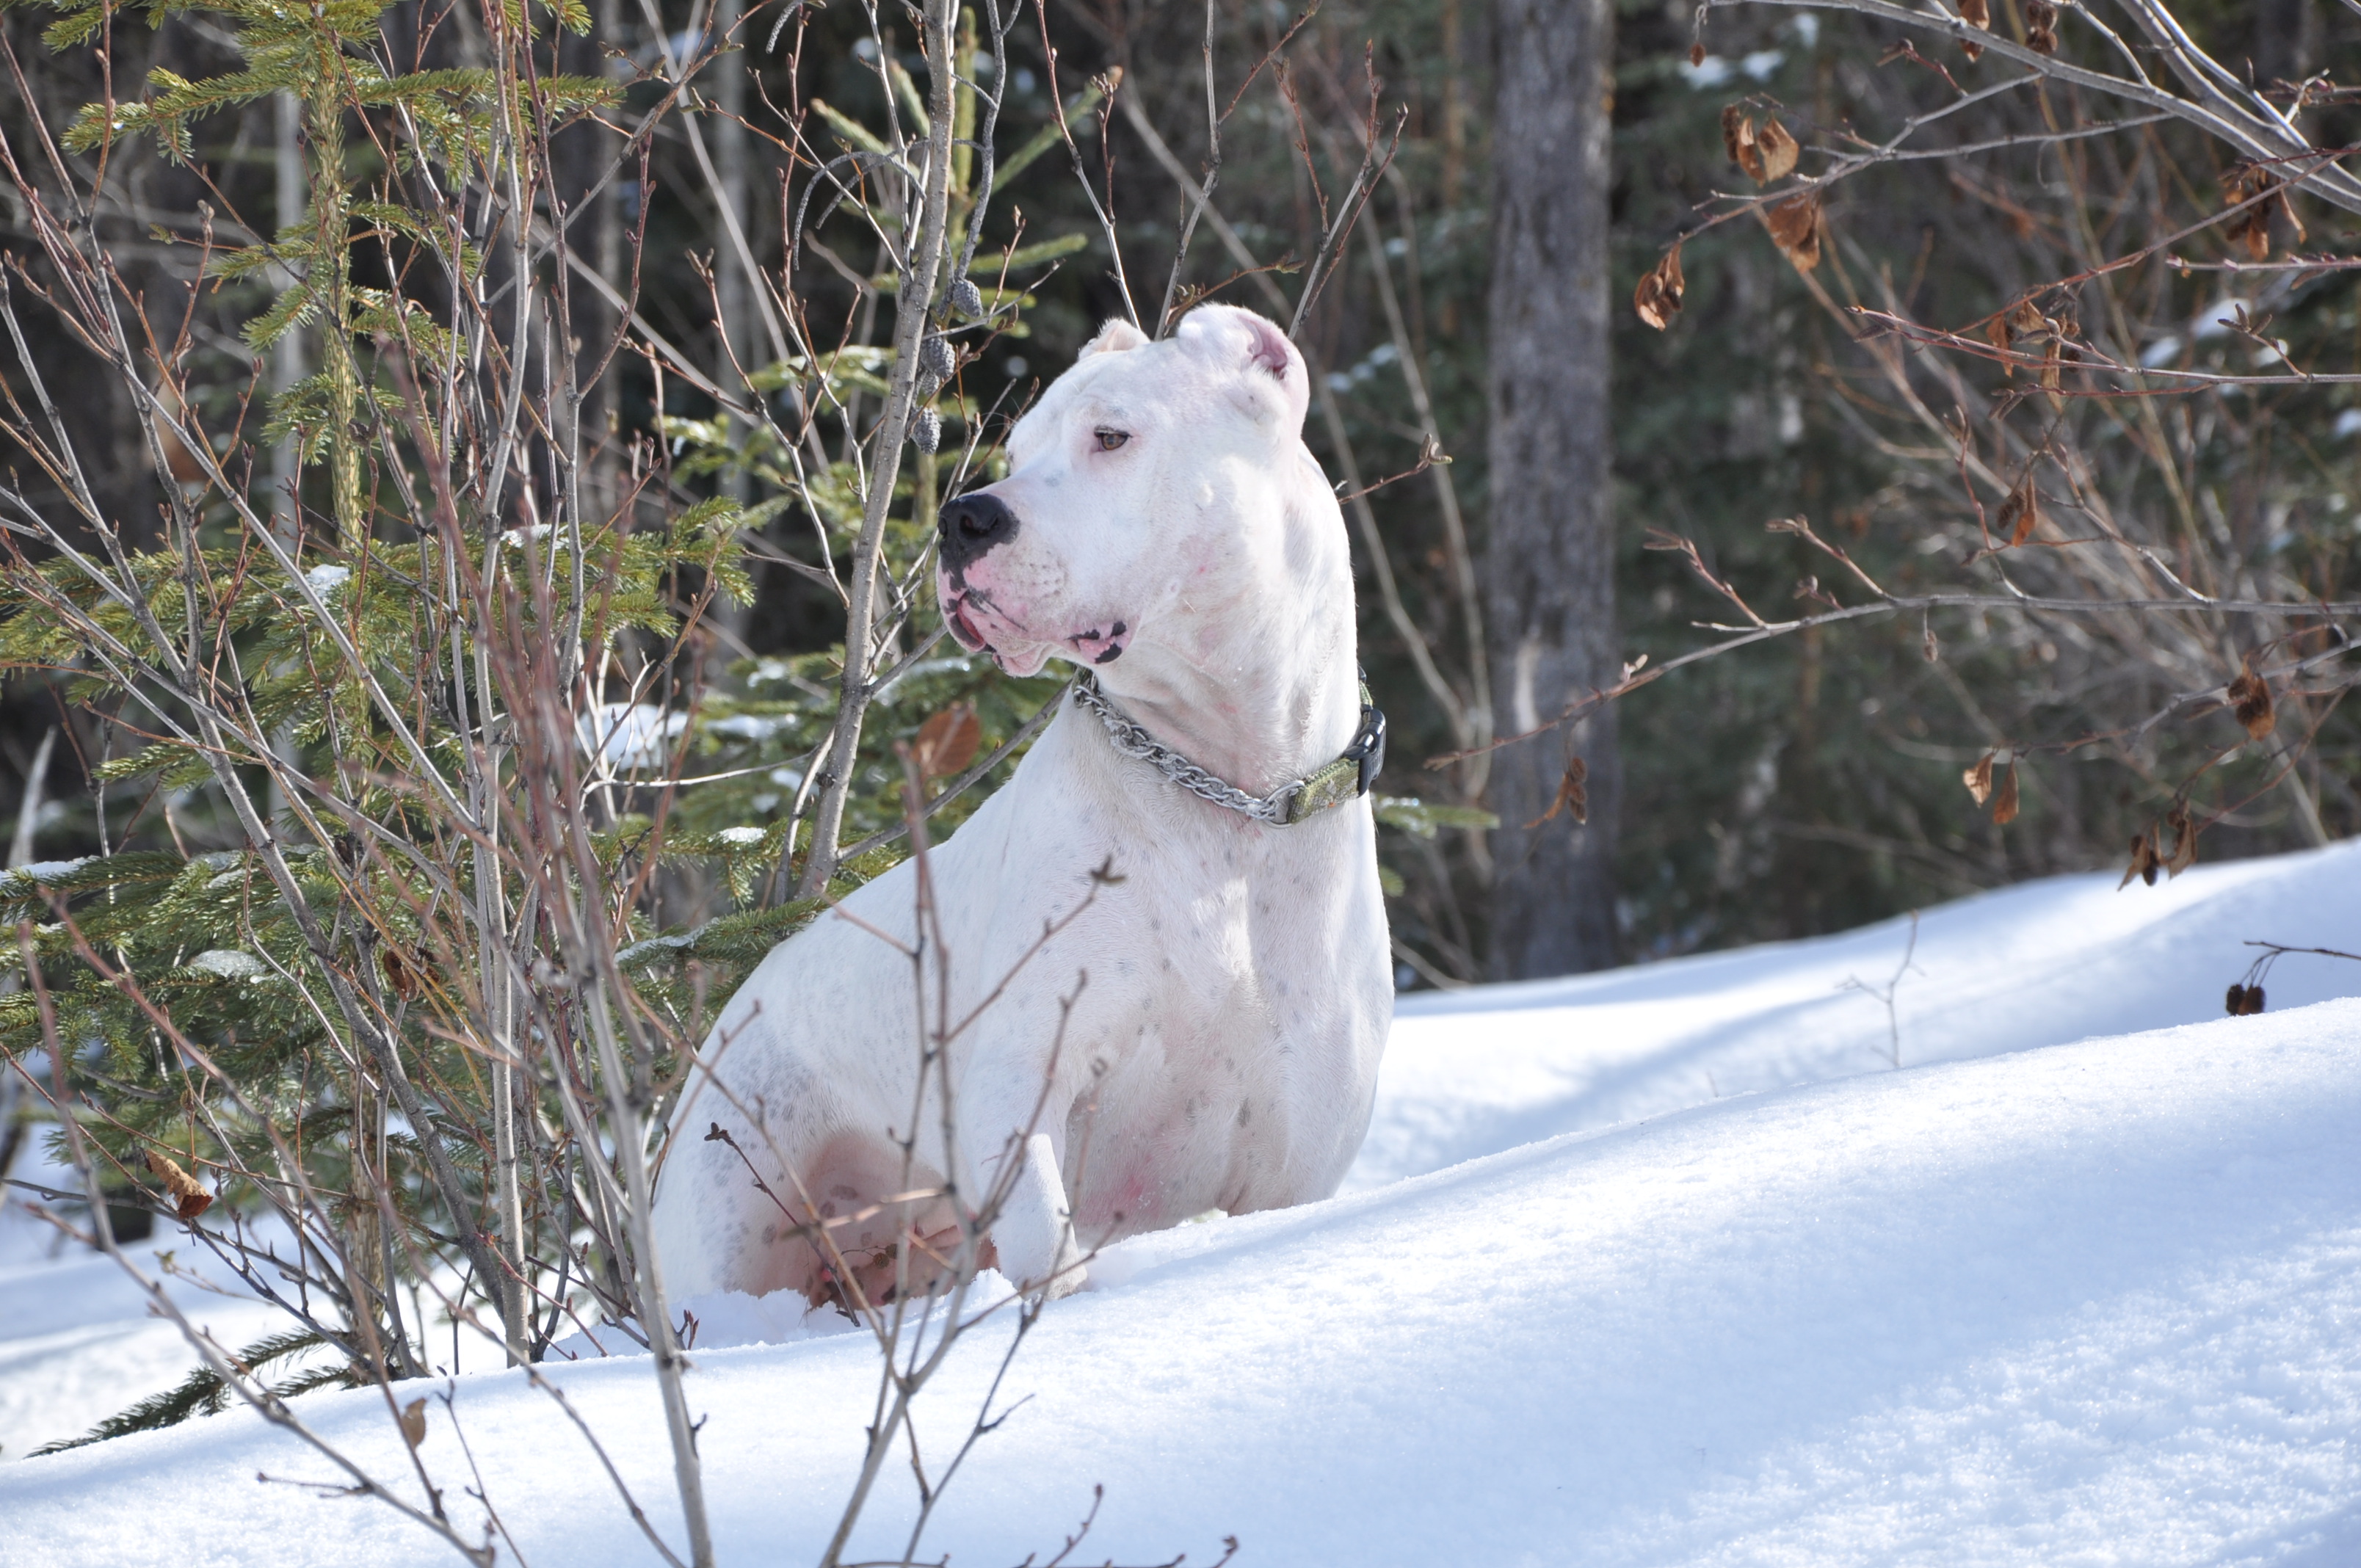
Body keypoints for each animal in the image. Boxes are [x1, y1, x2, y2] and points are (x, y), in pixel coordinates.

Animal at [647, 300, 1388, 1303]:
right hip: (729, 1212)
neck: (1233, 798)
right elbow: (1043, 1238)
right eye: (1017, 448)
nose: (964, 517)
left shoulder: (1296, 1163)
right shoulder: (1015, 1076)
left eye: (1111, 435)